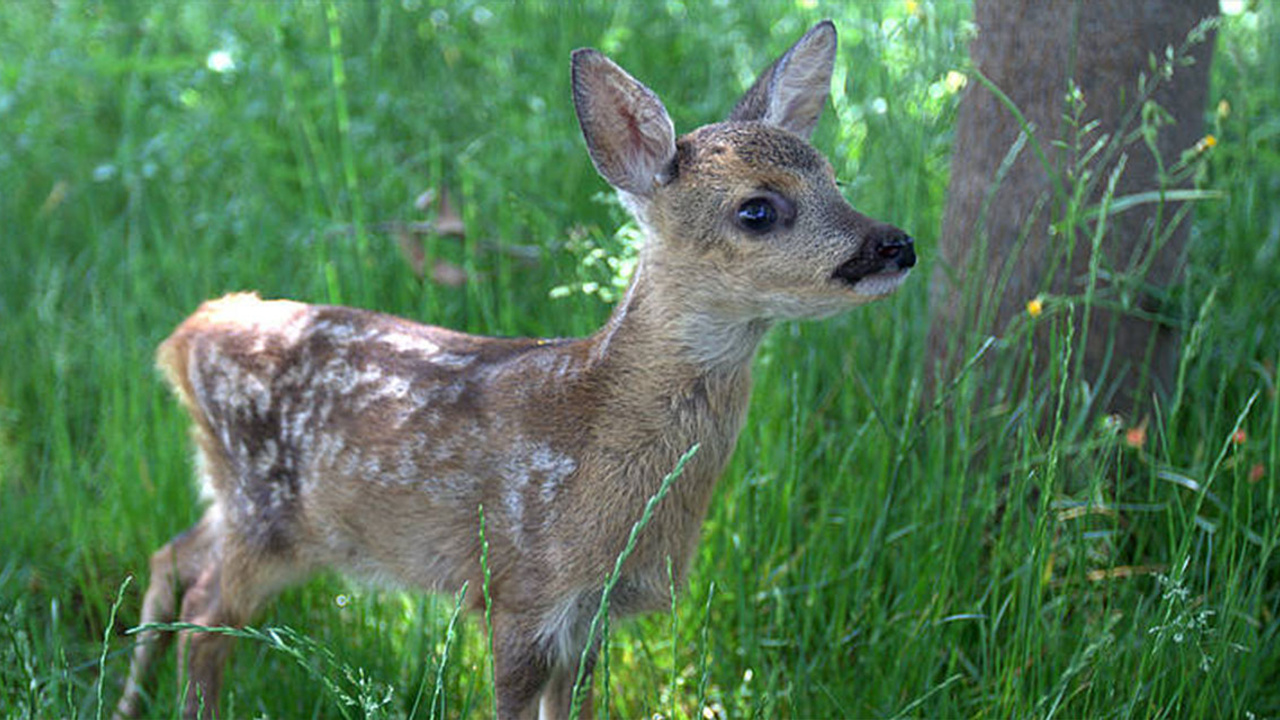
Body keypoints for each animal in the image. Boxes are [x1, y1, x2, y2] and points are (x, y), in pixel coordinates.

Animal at [115, 19, 921, 712]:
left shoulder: (593, 612)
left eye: (834, 179)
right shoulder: (519, 589)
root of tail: (186, 337)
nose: (897, 244)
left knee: (172, 557)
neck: (594, 438)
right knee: (205, 610)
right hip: (267, 515)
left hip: (238, 502)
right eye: (757, 210)